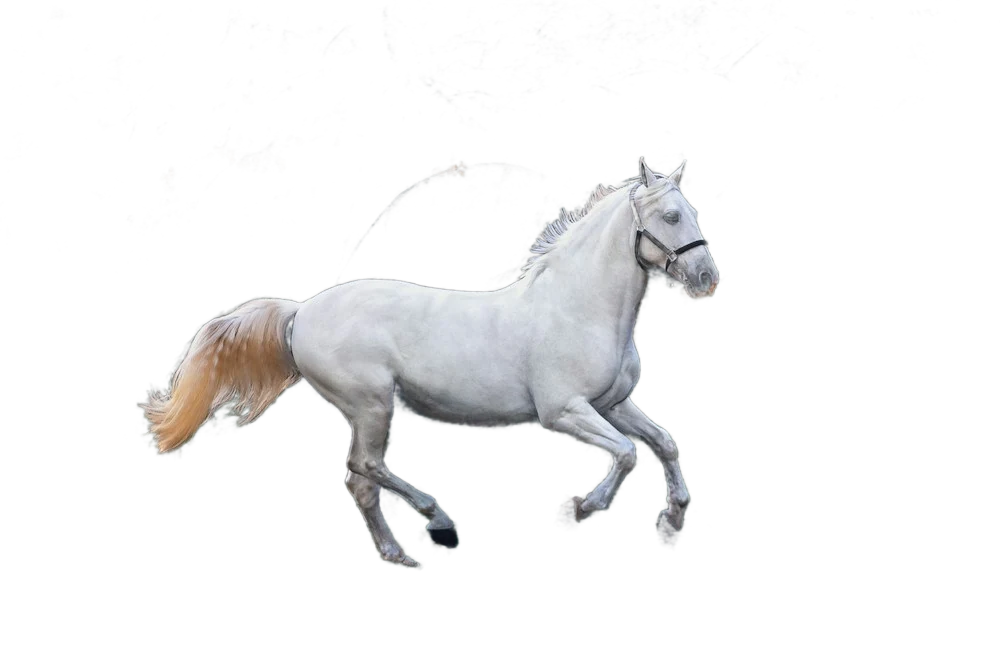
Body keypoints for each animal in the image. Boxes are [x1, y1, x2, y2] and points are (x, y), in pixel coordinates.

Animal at [141, 157, 719, 568]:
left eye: (693, 215)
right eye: (671, 216)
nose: (706, 279)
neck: (579, 308)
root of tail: (301, 311)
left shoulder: (613, 403)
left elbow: (662, 442)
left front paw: (671, 520)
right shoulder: (564, 412)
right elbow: (625, 454)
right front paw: (575, 511)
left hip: (368, 411)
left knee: (361, 481)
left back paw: (400, 555)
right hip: (371, 406)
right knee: (366, 469)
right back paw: (438, 524)